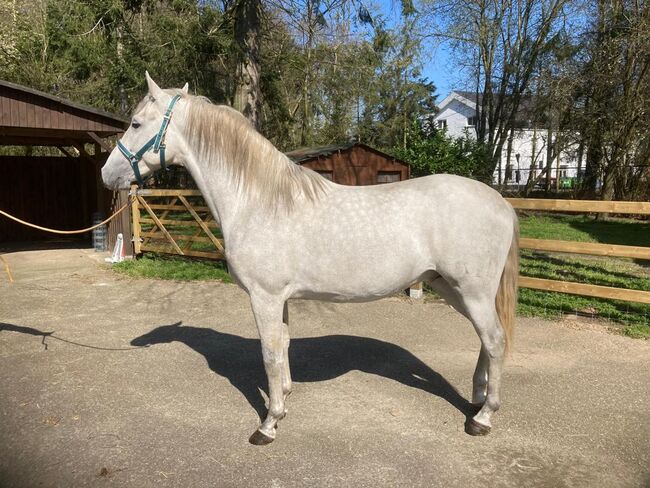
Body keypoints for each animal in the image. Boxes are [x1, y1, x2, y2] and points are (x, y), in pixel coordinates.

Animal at [101, 74, 516, 444]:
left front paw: (268, 424)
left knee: (495, 340)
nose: (107, 174)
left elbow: (269, 354)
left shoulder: (264, 297)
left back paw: (483, 417)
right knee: (485, 340)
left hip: (472, 292)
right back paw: (477, 398)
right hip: (452, 289)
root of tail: (501, 202)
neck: (257, 200)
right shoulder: (279, 299)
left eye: (136, 123)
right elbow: (283, 346)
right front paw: (284, 400)